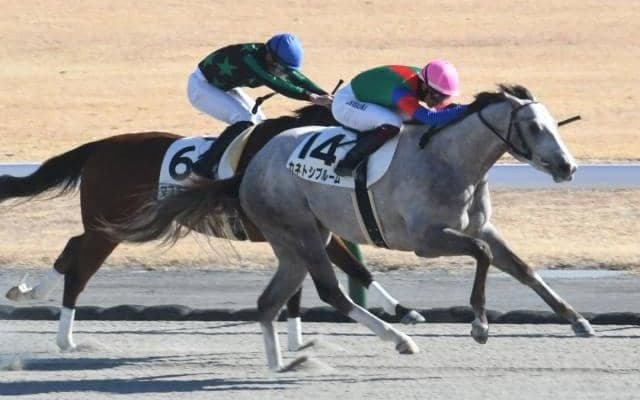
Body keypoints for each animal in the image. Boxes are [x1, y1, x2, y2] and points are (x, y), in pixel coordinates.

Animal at [1, 104, 423, 353]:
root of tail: (98, 147)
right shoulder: (300, 226)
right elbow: (339, 271)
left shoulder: (306, 229)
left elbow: (351, 271)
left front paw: (403, 312)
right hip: (110, 227)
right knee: (79, 269)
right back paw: (66, 338)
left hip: (106, 225)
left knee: (72, 248)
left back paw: (28, 292)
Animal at [107, 84, 596, 371]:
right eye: (533, 126)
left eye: (553, 124)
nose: (568, 167)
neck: (450, 161)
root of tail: (249, 167)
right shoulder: (425, 240)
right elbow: (483, 255)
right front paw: (478, 325)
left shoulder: (483, 226)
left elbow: (521, 267)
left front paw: (577, 320)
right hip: (302, 233)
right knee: (330, 292)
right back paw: (399, 340)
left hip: (296, 240)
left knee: (269, 302)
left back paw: (279, 364)